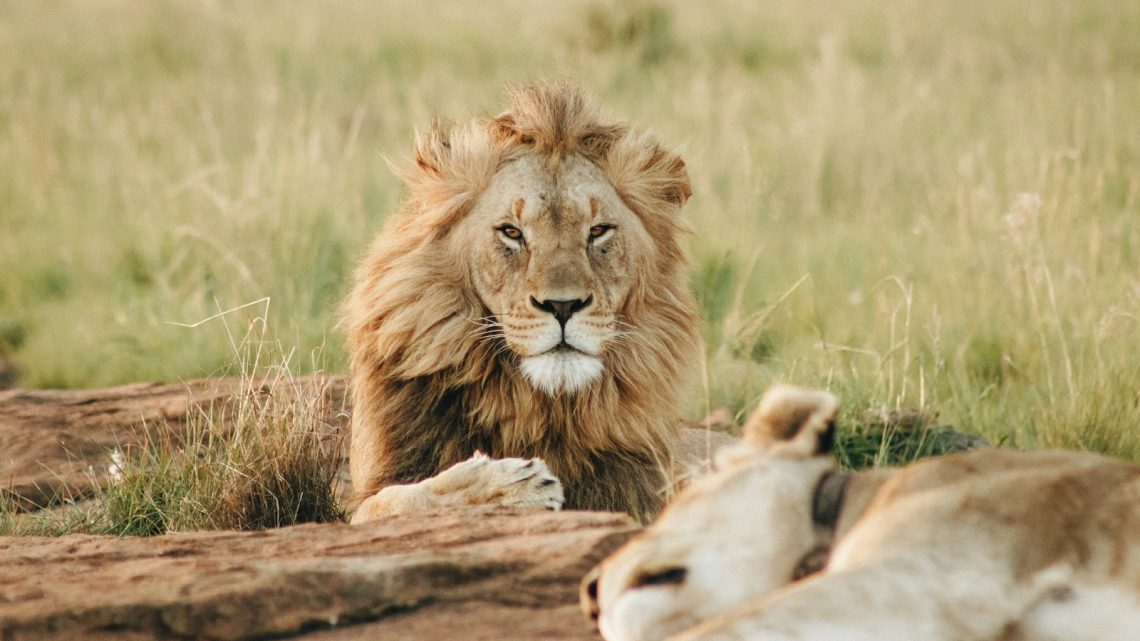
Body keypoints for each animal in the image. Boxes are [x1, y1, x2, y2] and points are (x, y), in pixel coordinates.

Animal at [342, 84, 729, 522]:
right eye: (512, 232)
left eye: (598, 231)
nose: (563, 306)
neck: (537, 407)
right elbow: (398, 500)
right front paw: (509, 486)